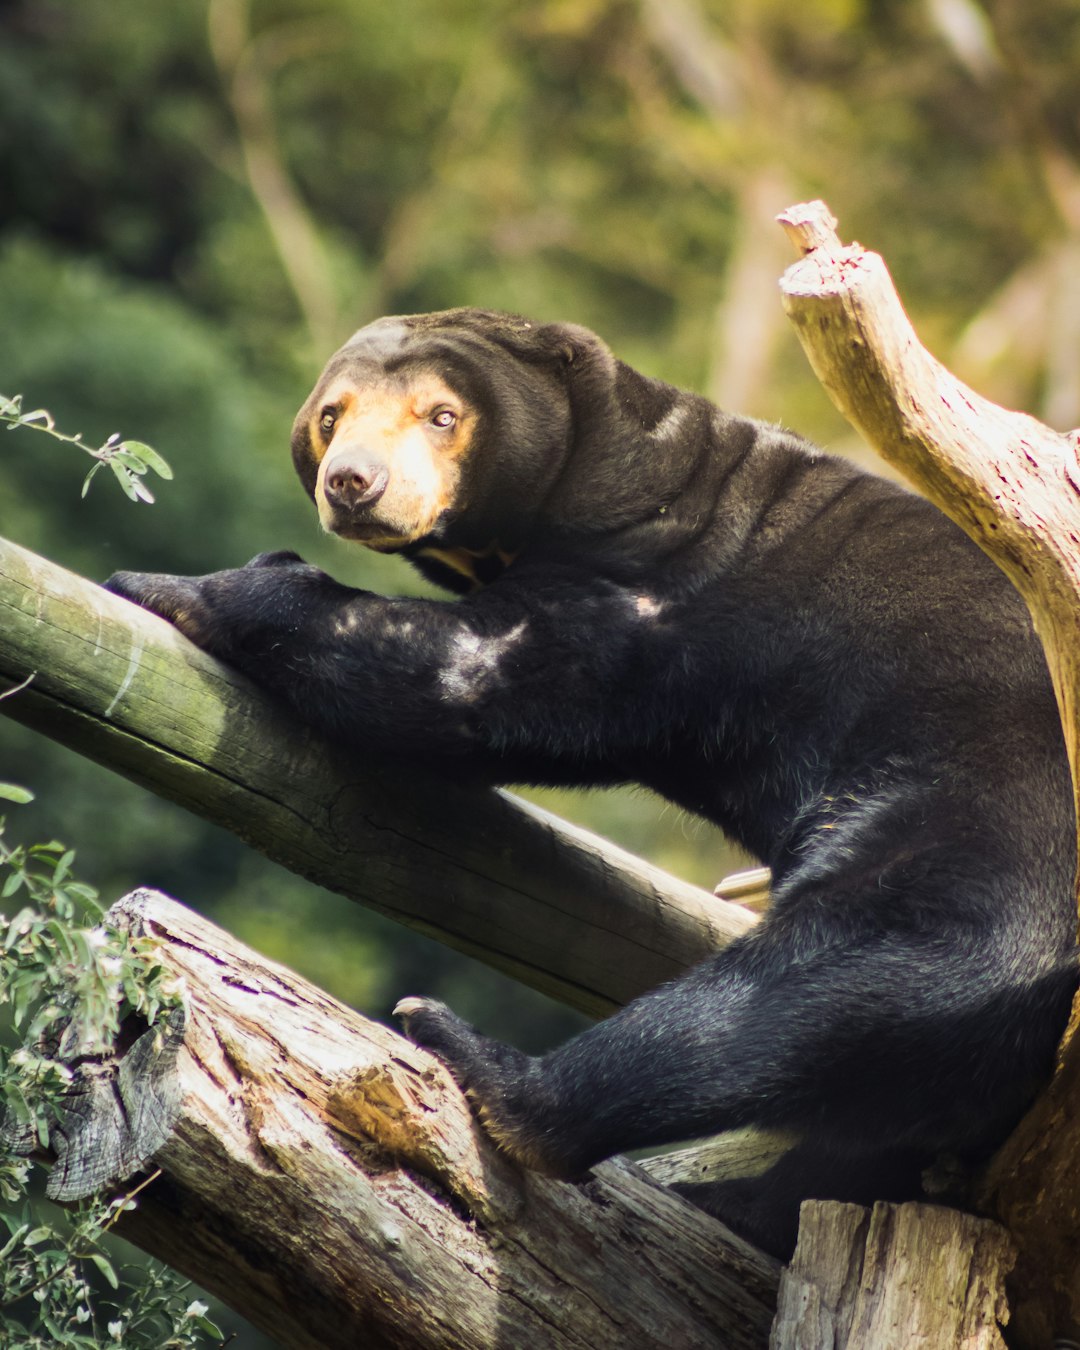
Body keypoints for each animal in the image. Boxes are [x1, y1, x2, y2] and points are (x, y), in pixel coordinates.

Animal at [106, 308, 1078, 1258]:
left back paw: (481, 1061)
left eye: (442, 415)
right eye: (332, 414)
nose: (354, 483)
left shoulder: (649, 589)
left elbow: (468, 675)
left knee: (838, 977)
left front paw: (172, 583)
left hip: (980, 825)